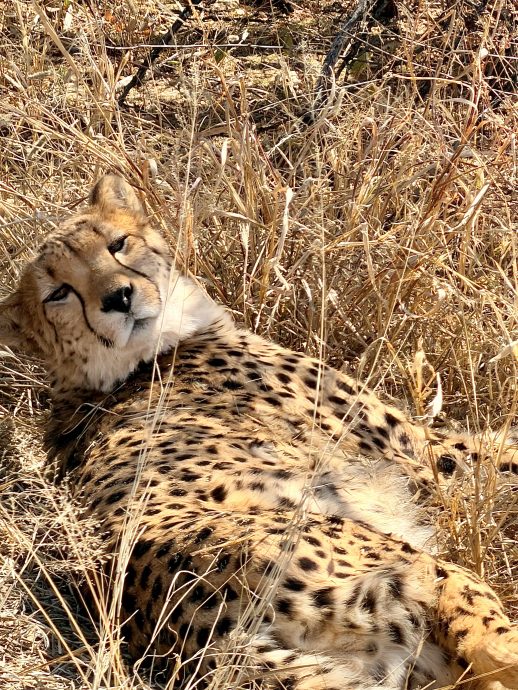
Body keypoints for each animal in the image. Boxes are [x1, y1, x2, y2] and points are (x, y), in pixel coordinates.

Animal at [1, 175, 517, 690]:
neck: (136, 364)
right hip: (409, 564)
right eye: (58, 293)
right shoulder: (421, 458)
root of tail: (209, 636)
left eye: (118, 243)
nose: (119, 297)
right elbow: (497, 452)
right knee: (488, 639)